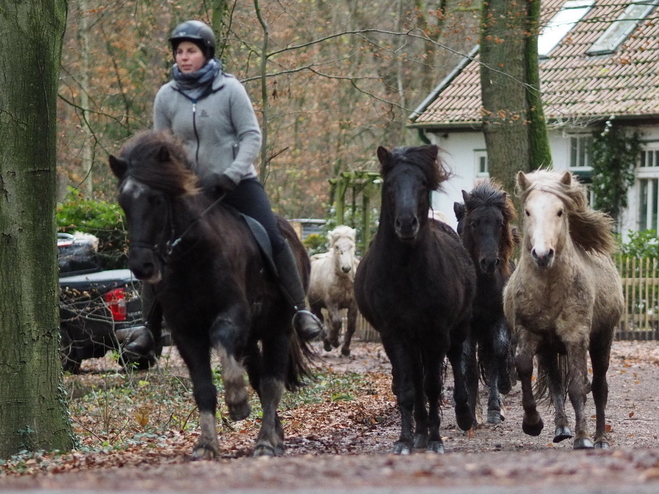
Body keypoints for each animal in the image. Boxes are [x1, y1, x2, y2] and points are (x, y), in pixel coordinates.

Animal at [108, 131, 314, 460]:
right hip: (252, 337)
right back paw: (275, 434)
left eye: (156, 199)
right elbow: (203, 389)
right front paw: (206, 445)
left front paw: (238, 401)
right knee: (258, 375)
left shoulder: (233, 313)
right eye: (123, 203)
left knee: (272, 383)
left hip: (278, 328)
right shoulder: (185, 332)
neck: (192, 256)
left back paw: (266, 441)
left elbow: (220, 337)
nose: (142, 266)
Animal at [310, 224, 360, 356]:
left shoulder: (353, 305)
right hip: (315, 305)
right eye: (337, 246)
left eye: (351, 246)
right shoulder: (332, 304)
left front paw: (345, 349)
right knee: (320, 320)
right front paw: (331, 341)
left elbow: (351, 326)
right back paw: (328, 343)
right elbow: (337, 322)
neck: (343, 282)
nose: (346, 268)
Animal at [354, 144, 476, 456]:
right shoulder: (394, 334)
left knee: (456, 362)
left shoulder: (436, 332)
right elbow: (408, 388)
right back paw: (419, 431)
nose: (407, 223)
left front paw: (435, 439)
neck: (407, 273)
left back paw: (462, 415)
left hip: (456, 330)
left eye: (422, 183)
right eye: (388, 184)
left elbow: (433, 386)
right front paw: (405, 440)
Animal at [456, 181, 520, 424]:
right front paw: (469, 414)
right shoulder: (467, 327)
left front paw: (504, 386)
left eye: (500, 223)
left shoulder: (499, 319)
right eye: (474, 223)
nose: (490, 262)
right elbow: (468, 366)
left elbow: (499, 352)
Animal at [506, 172, 624, 450]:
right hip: (549, 348)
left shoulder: (576, 337)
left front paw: (583, 438)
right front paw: (532, 423)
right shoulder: (528, 332)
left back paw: (600, 439)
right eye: (527, 211)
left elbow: (579, 387)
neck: (549, 288)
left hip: (602, 340)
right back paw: (561, 428)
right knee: (556, 382)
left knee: (599, 387)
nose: (542, 254)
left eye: (560, 212)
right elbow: (524, 366)